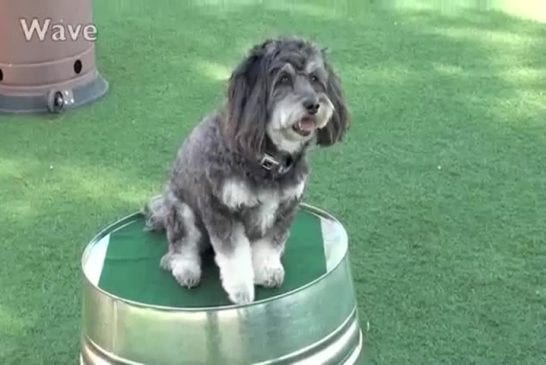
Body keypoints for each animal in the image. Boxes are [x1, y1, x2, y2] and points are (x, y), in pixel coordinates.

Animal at [143, 37, 348, 304]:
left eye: (315, 78)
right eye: (283, 79)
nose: (314, 104)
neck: (267, 158)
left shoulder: (285, 207)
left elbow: (271, 244)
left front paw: (267, 270)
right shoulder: (222, 210)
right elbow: (234, 256)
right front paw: (241, 290)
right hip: (181, 210)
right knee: (182, 244)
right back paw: (184, 267)